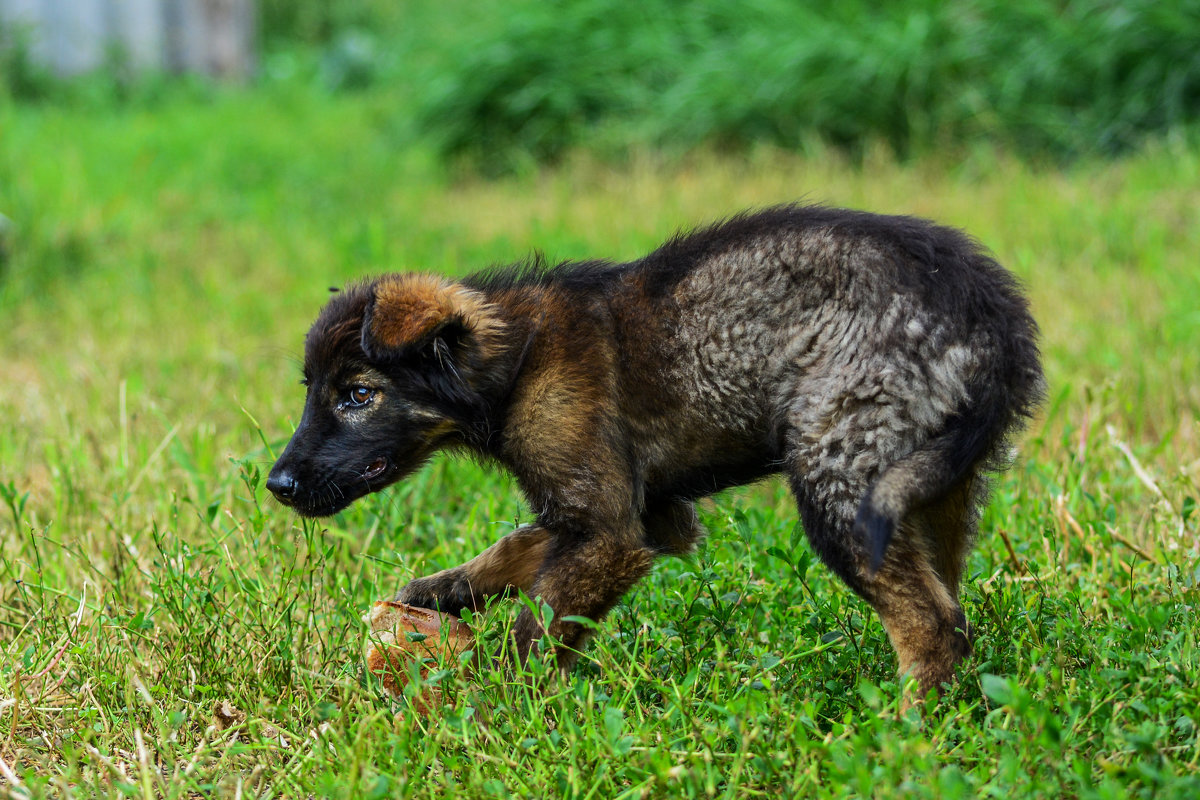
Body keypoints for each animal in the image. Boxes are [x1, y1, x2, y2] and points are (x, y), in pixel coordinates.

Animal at [265, 206, 1041, 700]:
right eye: (312, 391)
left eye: (357, 394)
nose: (277, 484)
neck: (514, 360)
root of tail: (992, 315)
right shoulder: (642, 515)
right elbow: (515, 551)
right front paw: (438, 593)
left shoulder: (608, 532)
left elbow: (536, 627)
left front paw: (493, 703)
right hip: (932, 491)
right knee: (950, 610)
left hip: (842, 477)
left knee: (929, 625)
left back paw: (908, 735)